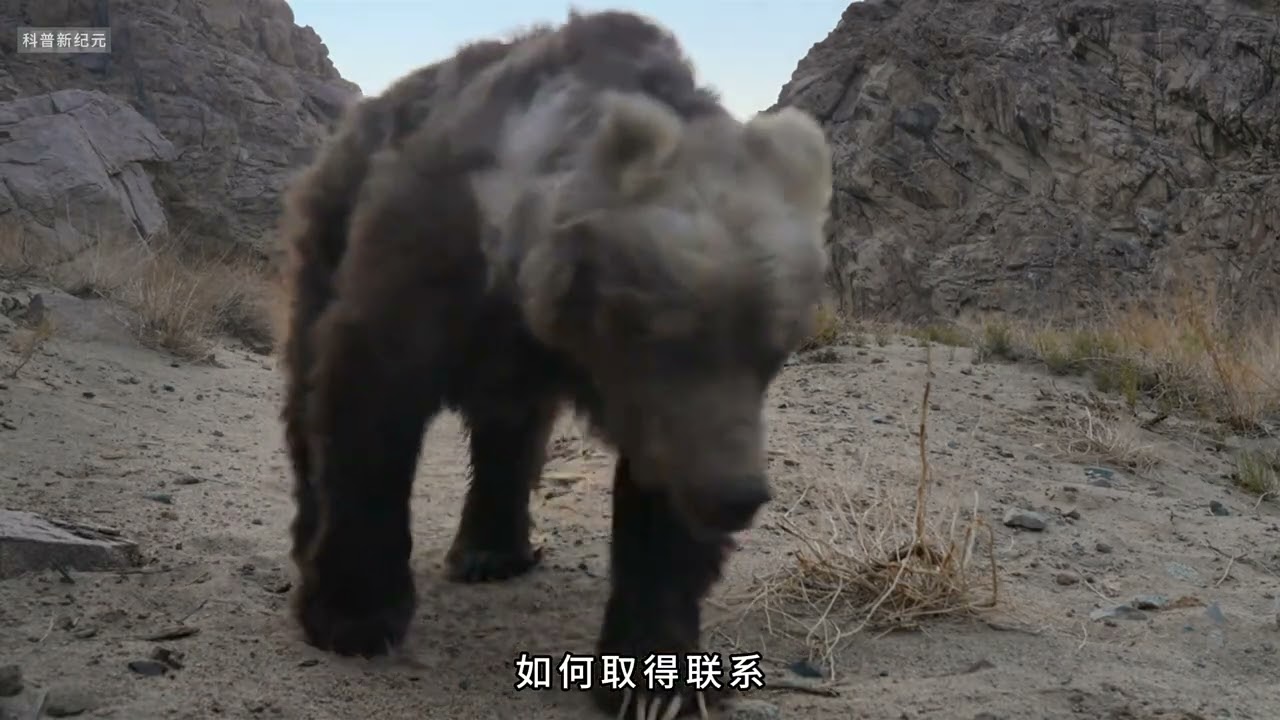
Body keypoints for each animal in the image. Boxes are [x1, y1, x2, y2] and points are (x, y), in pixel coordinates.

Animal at [275, 9, 833, 718]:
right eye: (669, 334)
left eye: (775, 347)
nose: (736, 496)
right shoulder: (430, 256)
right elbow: (372, 402)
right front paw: (354, 616)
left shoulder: (658, 404)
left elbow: (661, 504)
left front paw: (657, 679)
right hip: (330, 222)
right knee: (307, 384)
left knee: (511, 434)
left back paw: (489, 550)